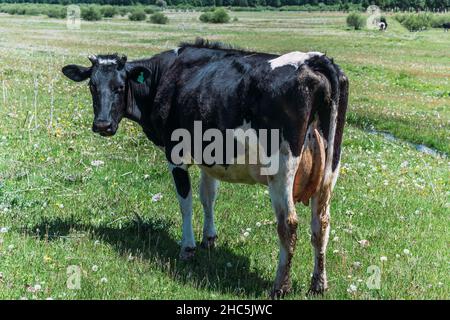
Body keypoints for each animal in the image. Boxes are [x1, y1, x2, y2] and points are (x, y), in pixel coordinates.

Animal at [61, 38, 348, 298]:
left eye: (120, 87)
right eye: (92, 86)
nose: (102, 125)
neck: (164, 77)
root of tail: (314, 60)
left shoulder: (175, 153)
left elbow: (185, 202)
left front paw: (187, 247)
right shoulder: (208, 157)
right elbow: (208, 196)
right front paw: (209, 238)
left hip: (281, 169)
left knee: (289, 223)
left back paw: (280, 286)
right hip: (330, 169)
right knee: (321, 222)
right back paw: (318, 284)